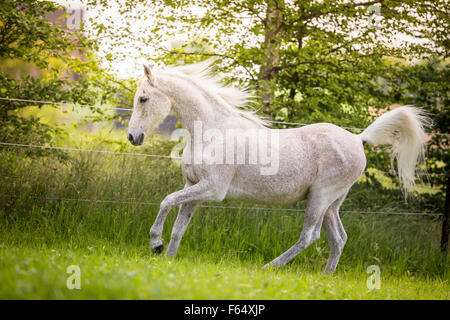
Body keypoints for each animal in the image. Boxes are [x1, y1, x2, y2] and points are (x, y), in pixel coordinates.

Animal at [125, 59, 428, 272]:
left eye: (143, 98)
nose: (132, 137)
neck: (213, 131)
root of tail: (357, 138)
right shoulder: (194, 187)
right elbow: (179, 226)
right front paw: (167, 259)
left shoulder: (212, 189)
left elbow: (166, 201)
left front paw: (155, 244)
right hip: (332, 203)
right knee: (339, 238)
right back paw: (325, 278)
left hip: (320, 196)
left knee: (310, 236)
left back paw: (270, 267)